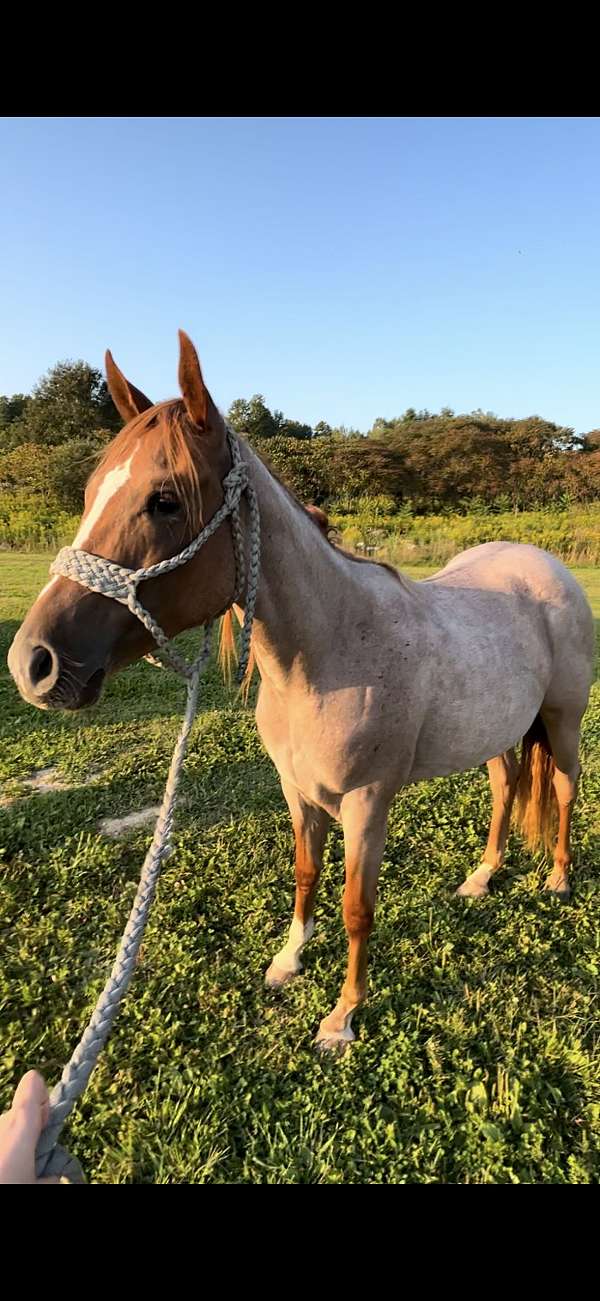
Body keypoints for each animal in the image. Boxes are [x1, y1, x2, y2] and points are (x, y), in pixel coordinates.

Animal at [9, 330, 593, 1051]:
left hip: (563, 720)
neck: (328, 654)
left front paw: (342, 1016)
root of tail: (548, 567)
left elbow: (357, 906)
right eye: (90, 492)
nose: (33, 663)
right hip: (495, 728)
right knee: (506, 784)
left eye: (165, 500)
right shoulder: (298, 790)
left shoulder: (367, 803)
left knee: (563, 787)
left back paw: (559, 876)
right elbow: (306, 874)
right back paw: (483, 875)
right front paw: (288, 960)